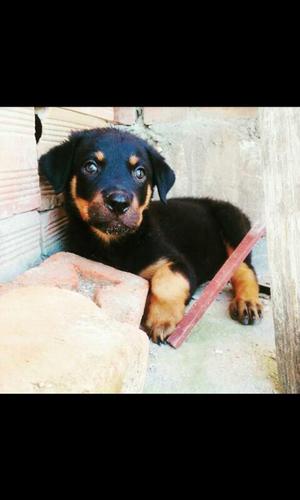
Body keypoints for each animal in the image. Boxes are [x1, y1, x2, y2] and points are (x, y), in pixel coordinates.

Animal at [39, 127, 262, 344]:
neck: (116, 243)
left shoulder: (177, 262)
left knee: (243, 267)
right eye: (90, 167)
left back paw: (247, 302)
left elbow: (165, 282)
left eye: (140, 173)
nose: (119, 203)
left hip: (234, 224)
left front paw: (162, 320)